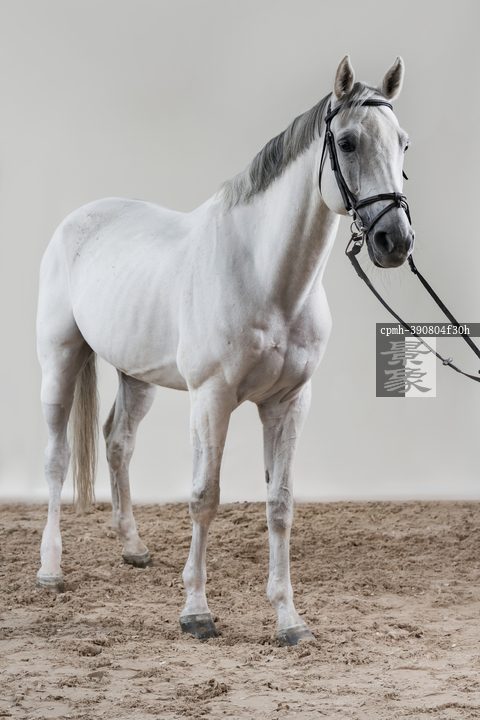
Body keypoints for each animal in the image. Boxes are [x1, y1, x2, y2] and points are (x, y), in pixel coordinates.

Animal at [36, 56, 413, 646]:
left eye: (403, 144)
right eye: (349, 142)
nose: (394, 241)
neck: (266, 278)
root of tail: (78, 220)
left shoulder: (288, 403)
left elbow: (280, 504)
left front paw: (289, 619)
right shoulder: (211, 399)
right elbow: (204, 497)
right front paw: (196, 613)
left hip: (137, 375)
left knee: (118, 443)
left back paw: (133, 548)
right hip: (59, 358)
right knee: (57, 457)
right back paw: (50, 571)